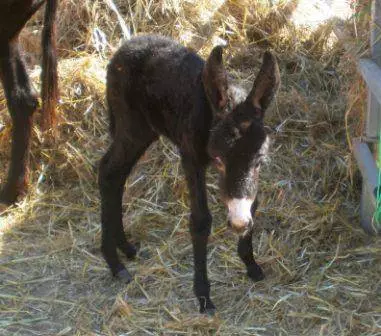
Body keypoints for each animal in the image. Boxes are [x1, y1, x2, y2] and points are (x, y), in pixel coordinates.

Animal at [98, 35, 280, 314]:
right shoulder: (191, 158)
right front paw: (204, 297)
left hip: (144, 131)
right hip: (131, 125)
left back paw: (125, 249)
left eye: (259, 161)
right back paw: (115, 264)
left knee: (116, 176)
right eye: (219, 160)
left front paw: (251, 265)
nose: (238, 223)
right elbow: (201, 221)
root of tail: (126, 46)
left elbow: (254, 203)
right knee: (108, 172)